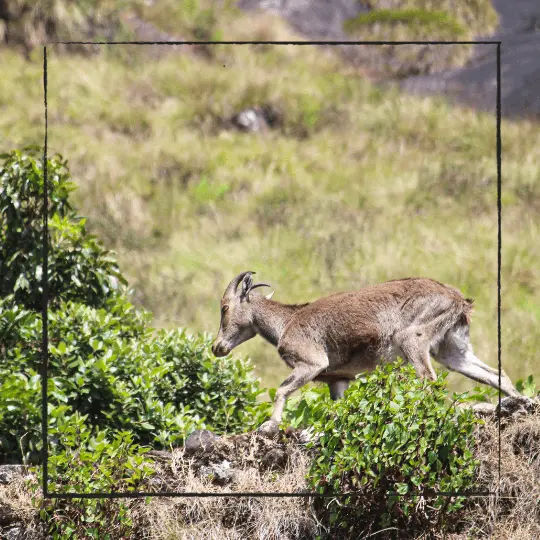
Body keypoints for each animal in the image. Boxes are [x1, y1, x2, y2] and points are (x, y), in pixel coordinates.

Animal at [211, 270, 520, 434]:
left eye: (224, 308)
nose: (217, 348)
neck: (285, 323)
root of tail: (458, 300)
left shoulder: (311, 363)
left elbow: (281, 390)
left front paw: (270, 424)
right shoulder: (339, 379)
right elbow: (338, 408)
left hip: (412, 339)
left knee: (429, 381)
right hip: (452, 349)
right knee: (494, 373)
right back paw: (520, 402)